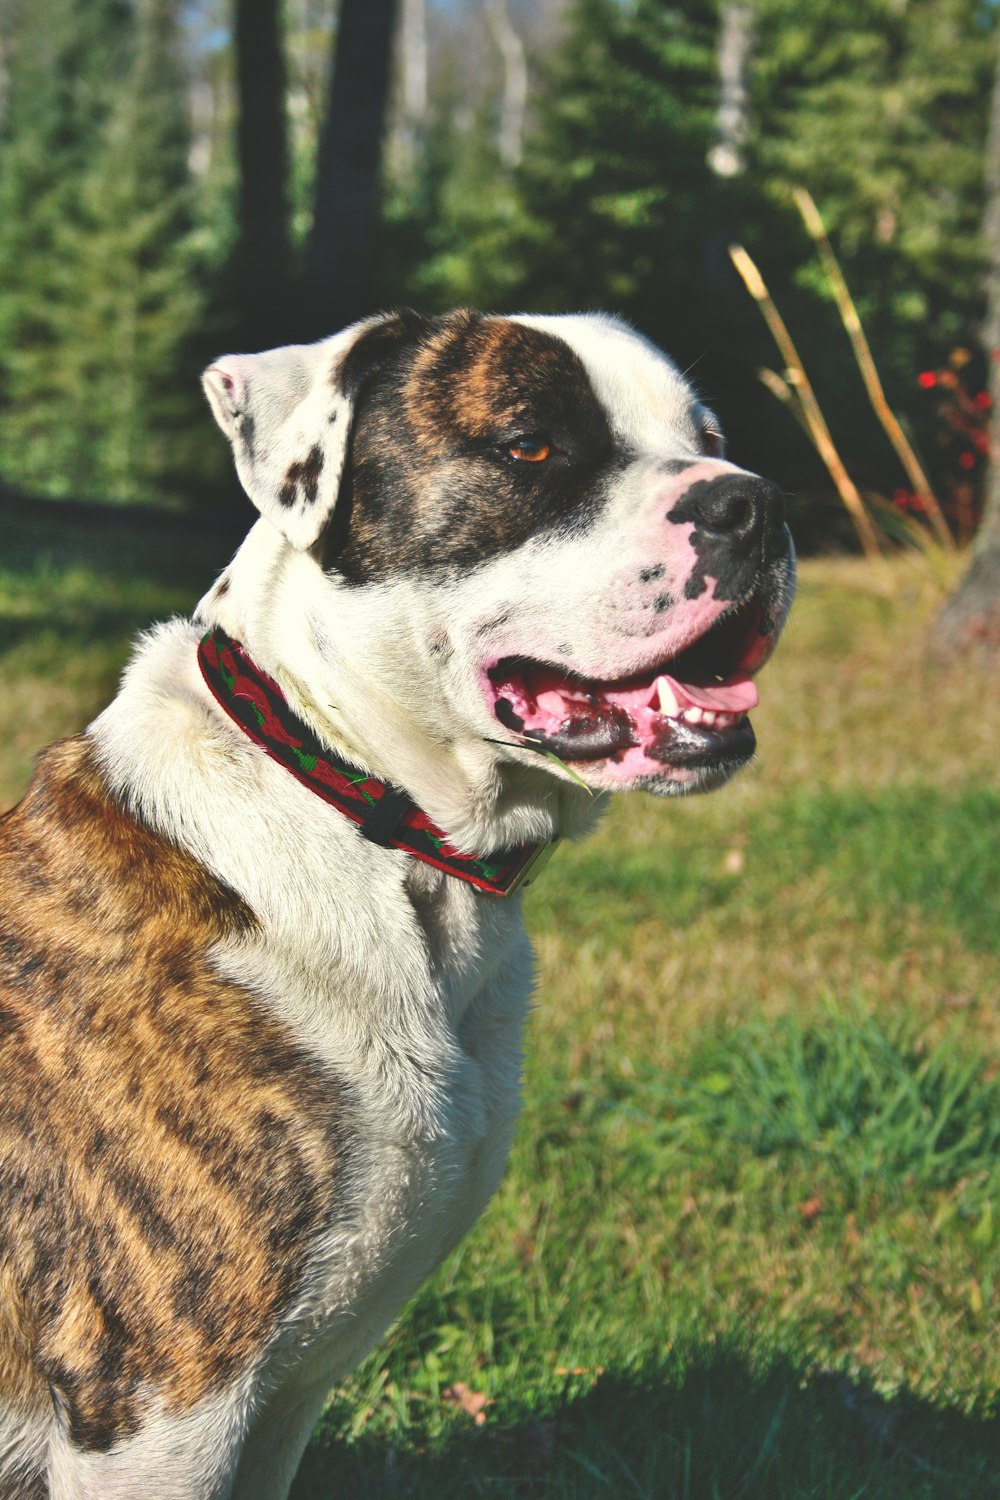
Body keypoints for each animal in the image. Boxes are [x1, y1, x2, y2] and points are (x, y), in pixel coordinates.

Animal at [1, 310, 797, 1494]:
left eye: (710, 438)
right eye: (529, 444)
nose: (753, 502)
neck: (358, 809)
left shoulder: (280, 1402)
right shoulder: (164, 1408)